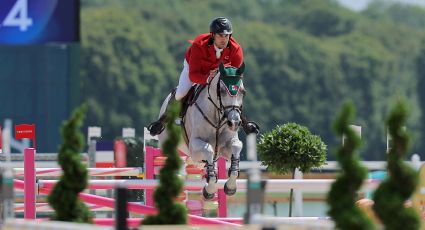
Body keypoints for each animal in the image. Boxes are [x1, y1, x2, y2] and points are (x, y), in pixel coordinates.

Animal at [158, 62, 245, 199]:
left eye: (242, 92)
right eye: (222, 91)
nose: (234, 123)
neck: (217, 117)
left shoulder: (226, 145)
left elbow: (236, 146)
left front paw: (230, 187)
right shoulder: (194, 146)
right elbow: (208, 150)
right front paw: (209, 190)